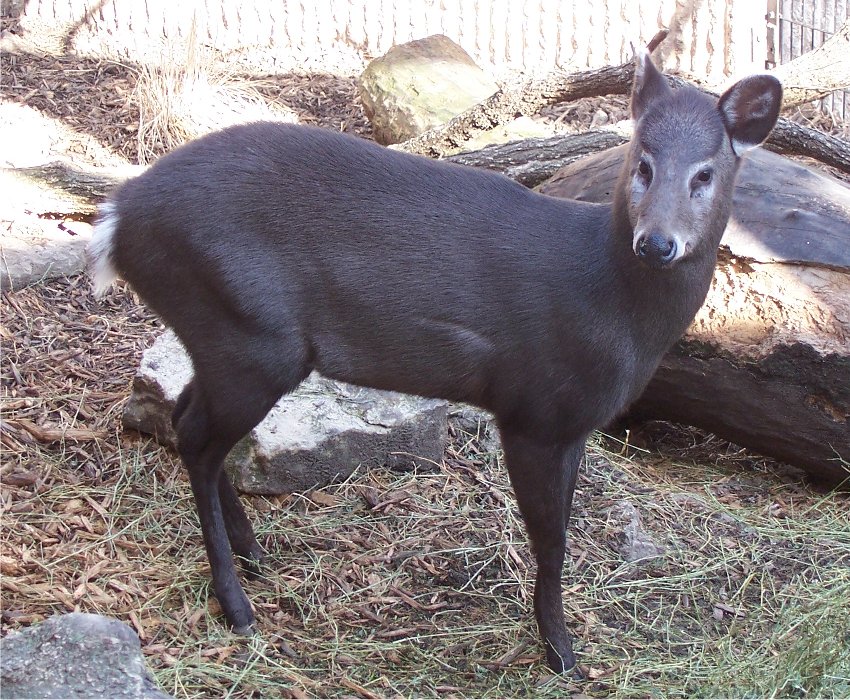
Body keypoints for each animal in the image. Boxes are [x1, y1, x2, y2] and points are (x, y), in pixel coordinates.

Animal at [88, 50, 781, 674]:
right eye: (642, 163)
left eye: (705, 174)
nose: (657, 243)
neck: (610, 301)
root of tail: (117, 220)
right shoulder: (533, 407)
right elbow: (552, 538)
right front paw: (561, 654)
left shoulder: (575, 423)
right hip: (250, 334)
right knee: (197, 437)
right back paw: (237, 605)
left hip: (224, 336)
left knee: (184, 415)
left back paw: (256, 555)